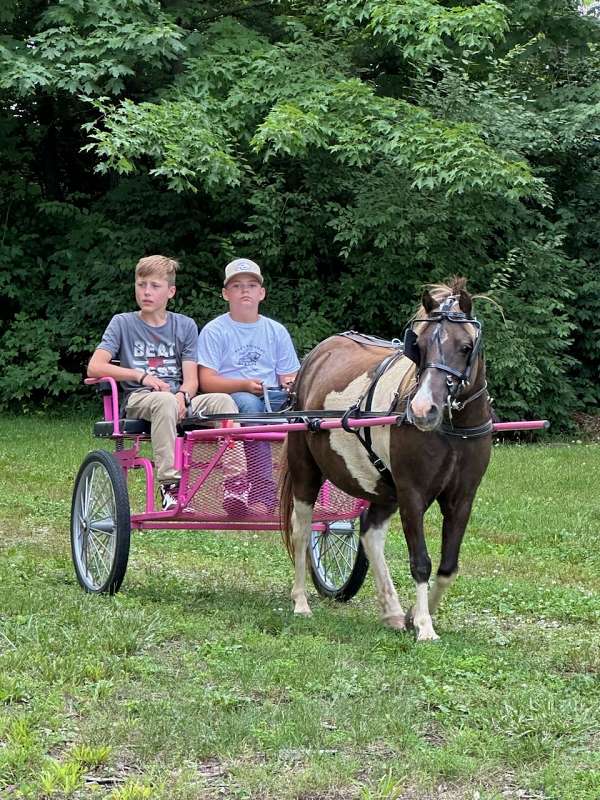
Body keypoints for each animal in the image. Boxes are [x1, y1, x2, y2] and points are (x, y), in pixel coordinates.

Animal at [282, 278, 492, 640]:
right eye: (418, 345)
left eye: (466, 346)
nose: (422, 410)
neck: (453, 430)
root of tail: (315, 356)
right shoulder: (413, 494)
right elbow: (421, 562)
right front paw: (424, 626)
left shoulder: (462, 497)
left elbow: (447, 567)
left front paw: (412, 615)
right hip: (306, 470)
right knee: (302, 528)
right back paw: (300, 602)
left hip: (384, 488)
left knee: (369, 532)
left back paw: (392, 611)